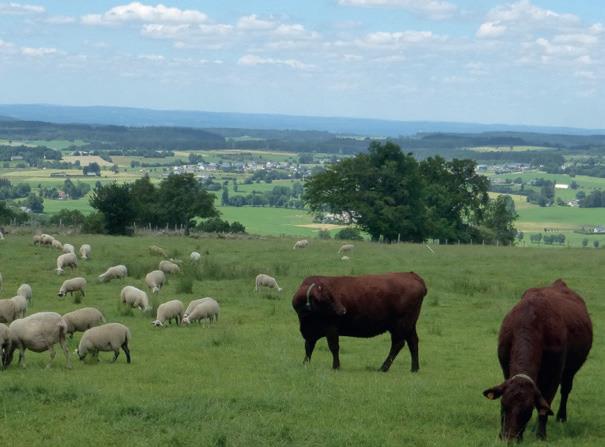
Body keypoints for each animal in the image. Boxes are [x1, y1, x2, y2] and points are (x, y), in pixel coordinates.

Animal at [292, 272, 424, 374]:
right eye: (326, 298)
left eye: (332, 296)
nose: (343, 310)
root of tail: (411, 275)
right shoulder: (310, 332)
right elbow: (308, 347)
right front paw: (305, 363)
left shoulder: (331, 329)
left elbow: (333, 347)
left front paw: (336, 366)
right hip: (410, 326)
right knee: (413, 342)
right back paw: (414, 369)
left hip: (401, 325)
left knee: (398, 344)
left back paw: (383, 368)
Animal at [484, 278, 592, 442]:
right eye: (503, 405)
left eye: (527, 411)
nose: (509, 437)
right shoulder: (505, 368)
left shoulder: (554, 374)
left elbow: (546, 404)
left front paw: (541, 434)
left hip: (570, 370)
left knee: (565, 390)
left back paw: (561, 417)